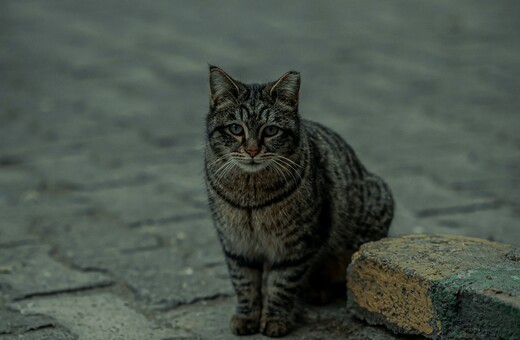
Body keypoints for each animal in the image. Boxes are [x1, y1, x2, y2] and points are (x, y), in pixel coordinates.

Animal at [205, 66, 392, 338]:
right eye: (236, 129)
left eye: (270, 130)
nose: (252, 151)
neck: (250, 195)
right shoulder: (236, 243)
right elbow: (244, 283)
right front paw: (246, 316)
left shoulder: (297, 246)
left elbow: (281, 285)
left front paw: (275, 320)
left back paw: (317, 290)